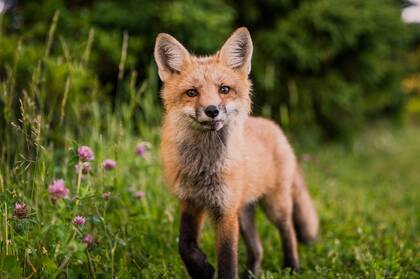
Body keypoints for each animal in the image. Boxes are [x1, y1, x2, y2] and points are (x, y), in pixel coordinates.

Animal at [154, 26, 318, 279]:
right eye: (192, 92)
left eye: (224, 89)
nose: (212, 110)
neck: (204, 167)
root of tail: (273, 126)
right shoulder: (191, 201)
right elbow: (185, 245)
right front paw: (202, 269)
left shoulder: (226, 210)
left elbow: (227, 260)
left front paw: (212, 269)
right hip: (245, 212)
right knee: (258, 248)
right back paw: (251, 273)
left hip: (274, 205)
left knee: (288, 230)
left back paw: (292, 267)